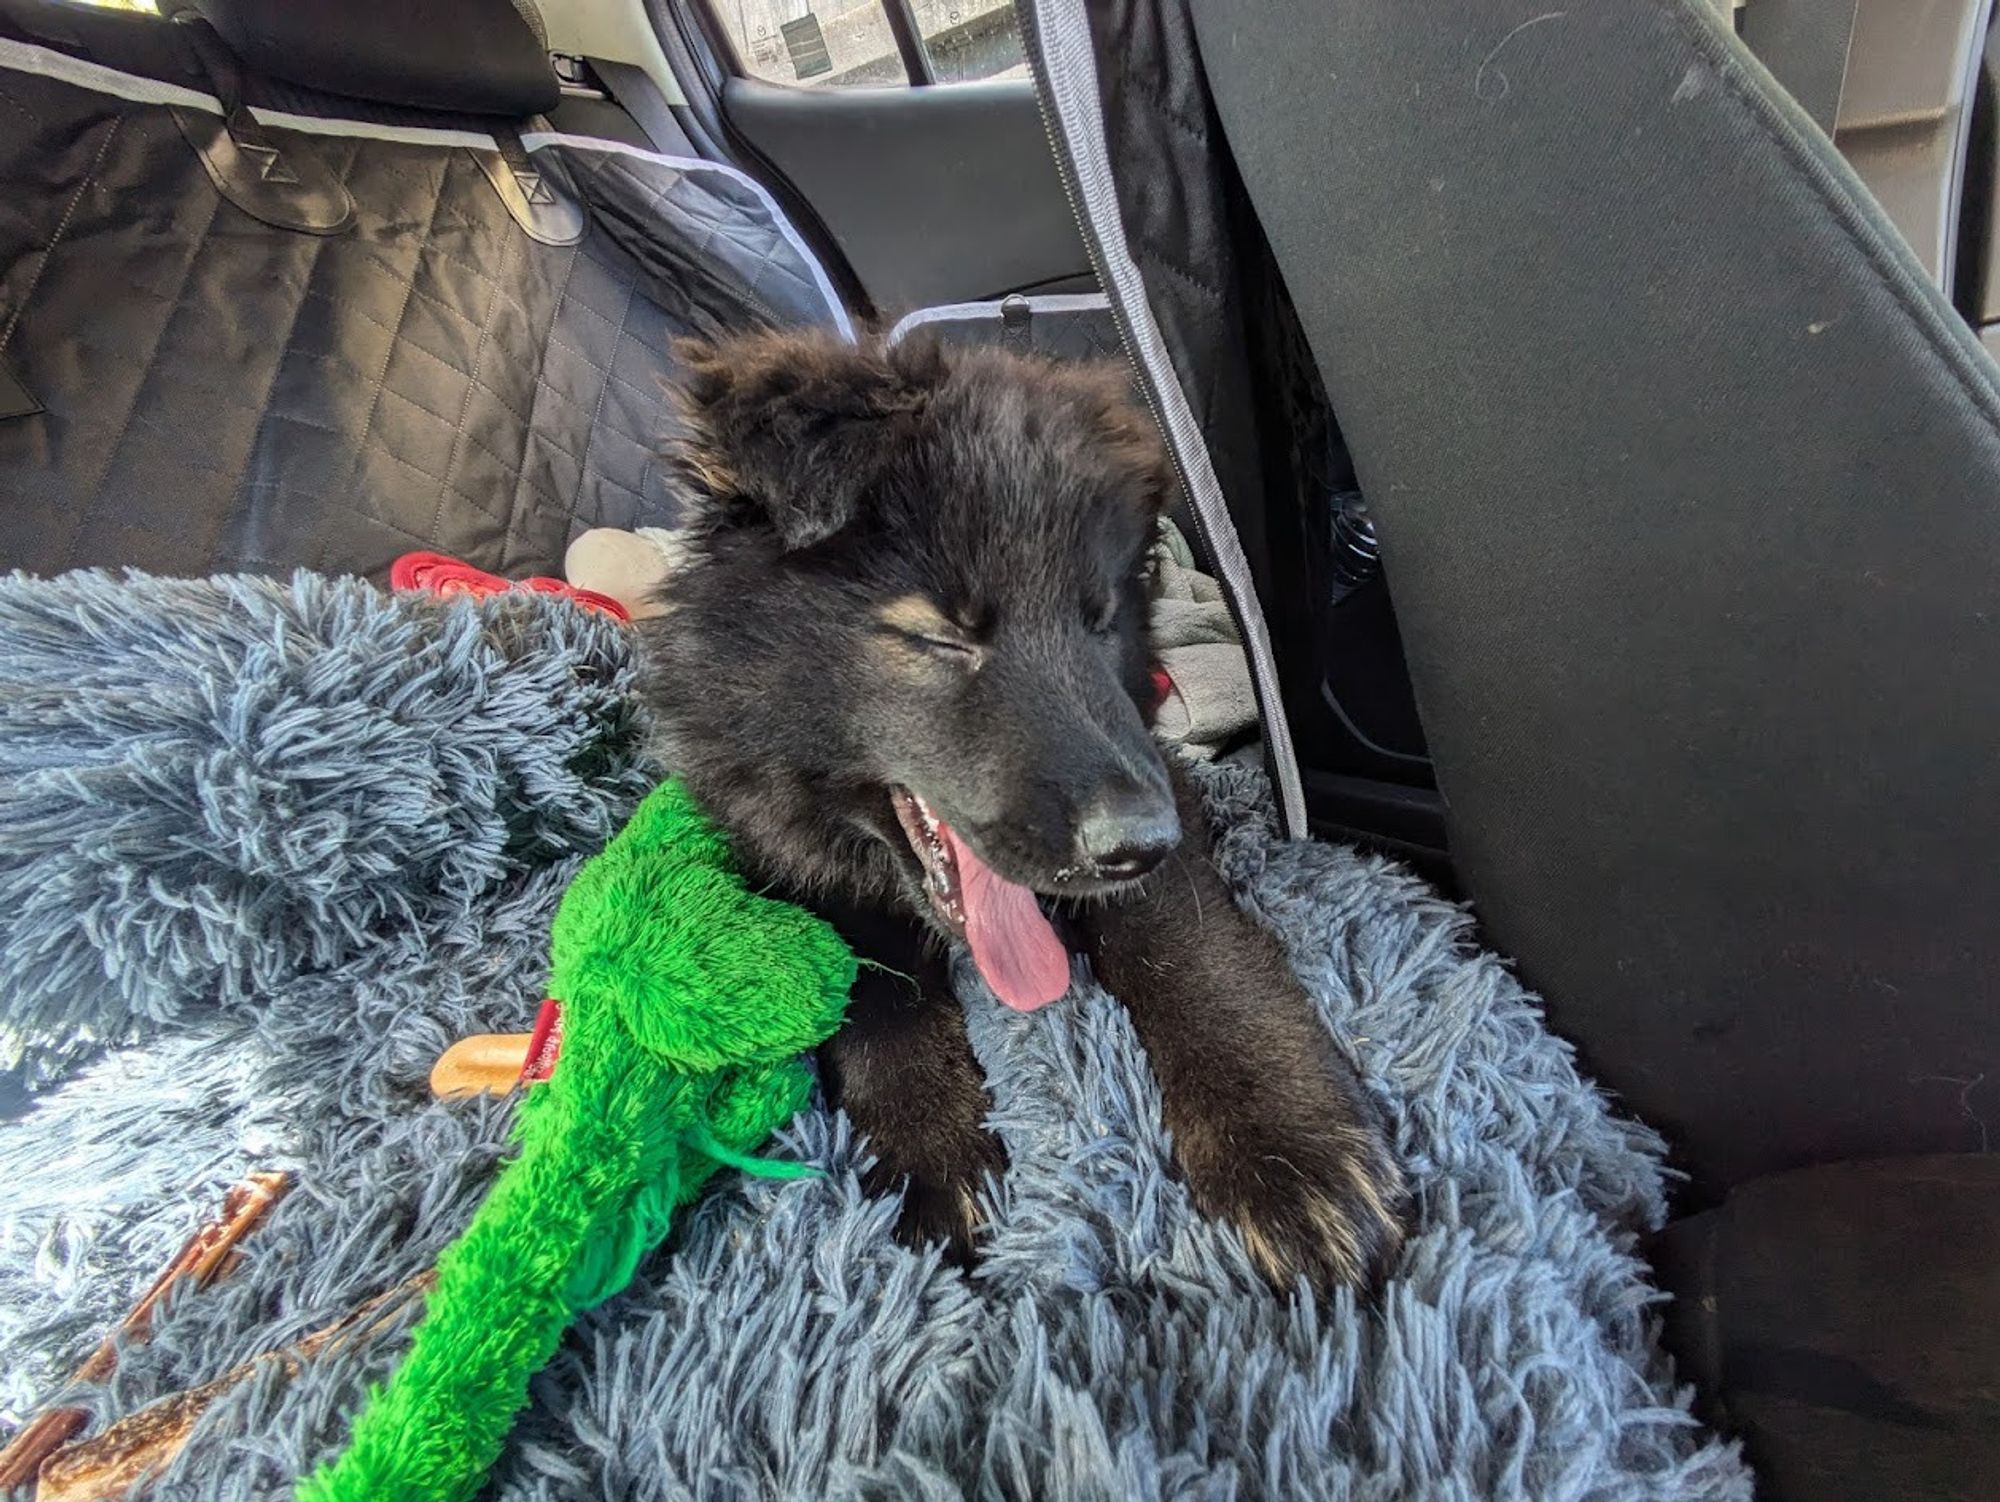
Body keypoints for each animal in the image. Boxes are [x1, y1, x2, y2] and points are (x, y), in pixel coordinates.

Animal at [640, 328, 1408, 1296]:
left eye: (1100, 619)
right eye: (940, 634)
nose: (1138, 844)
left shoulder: (1156, 774)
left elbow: (1187, 940)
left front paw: (1286, 1140)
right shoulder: (774, 848)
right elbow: (871, 986)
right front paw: (930, 1152)